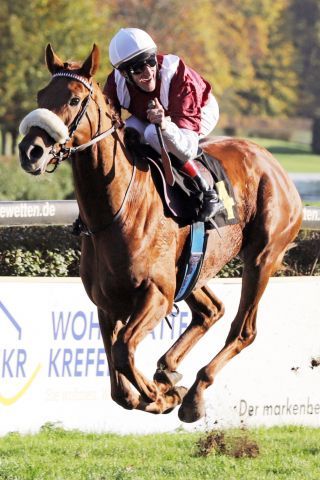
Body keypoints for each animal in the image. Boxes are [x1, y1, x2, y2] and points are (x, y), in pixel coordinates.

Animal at [18, 44, 302, 420]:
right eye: (41, 95)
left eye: (75, 99)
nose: (30, 151)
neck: (116, 211)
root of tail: (274, 165)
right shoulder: (107, 304)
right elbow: (119, 385)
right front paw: (157, 389)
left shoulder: (156, 295)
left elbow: (124, 352)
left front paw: (163, 396)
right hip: (193, 268)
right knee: (211, 310)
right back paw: (169, 368)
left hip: (262, 257)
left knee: (243, 330)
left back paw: (193, 393)